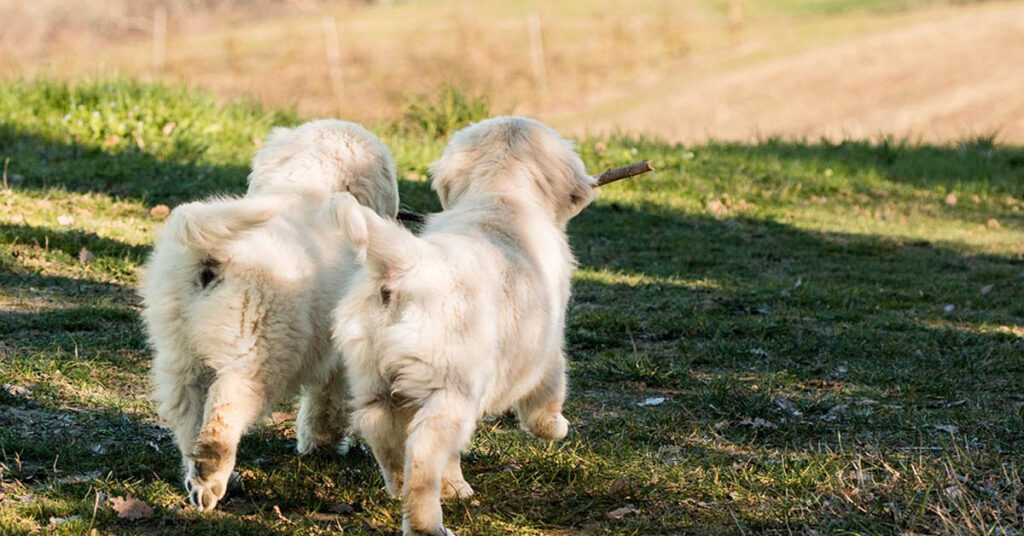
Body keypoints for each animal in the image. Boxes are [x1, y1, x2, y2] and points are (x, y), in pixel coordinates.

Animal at [142, 120, 397, 512]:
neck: (309, 186)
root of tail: (211, 254)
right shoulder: (337, 354)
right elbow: (328, 401)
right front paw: (322, 445)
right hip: (255, 356)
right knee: (222, 416)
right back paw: (211, 479)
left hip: (178, 353)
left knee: (188, 419)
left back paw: (204, 475)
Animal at [327, 115, 598, 532]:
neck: (501, 195)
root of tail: (406, 263)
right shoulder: (546, 347)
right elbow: (548, 394)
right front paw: (555, 427)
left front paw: (455, 486)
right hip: (452, 387)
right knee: (423, 449)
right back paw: (426, 522)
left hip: (373, 378)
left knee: (383, 432)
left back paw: (402, 488)